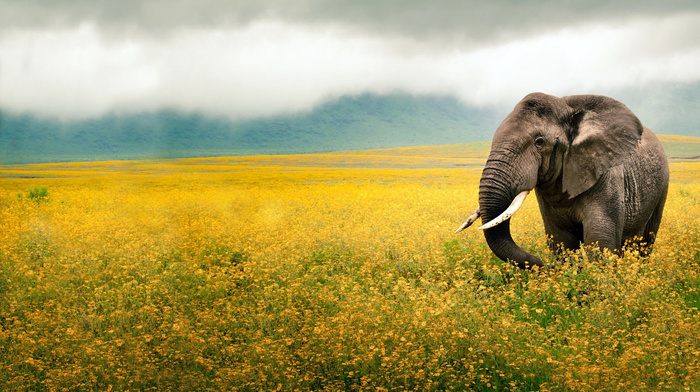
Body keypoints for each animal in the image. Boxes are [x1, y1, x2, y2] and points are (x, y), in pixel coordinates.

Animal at [456, 92, 668, 270]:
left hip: (662, 188)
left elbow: (599, 242)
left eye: (539, 142)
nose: (541, 264)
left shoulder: (607, 177)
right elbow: (561, 241)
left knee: (645, 243)